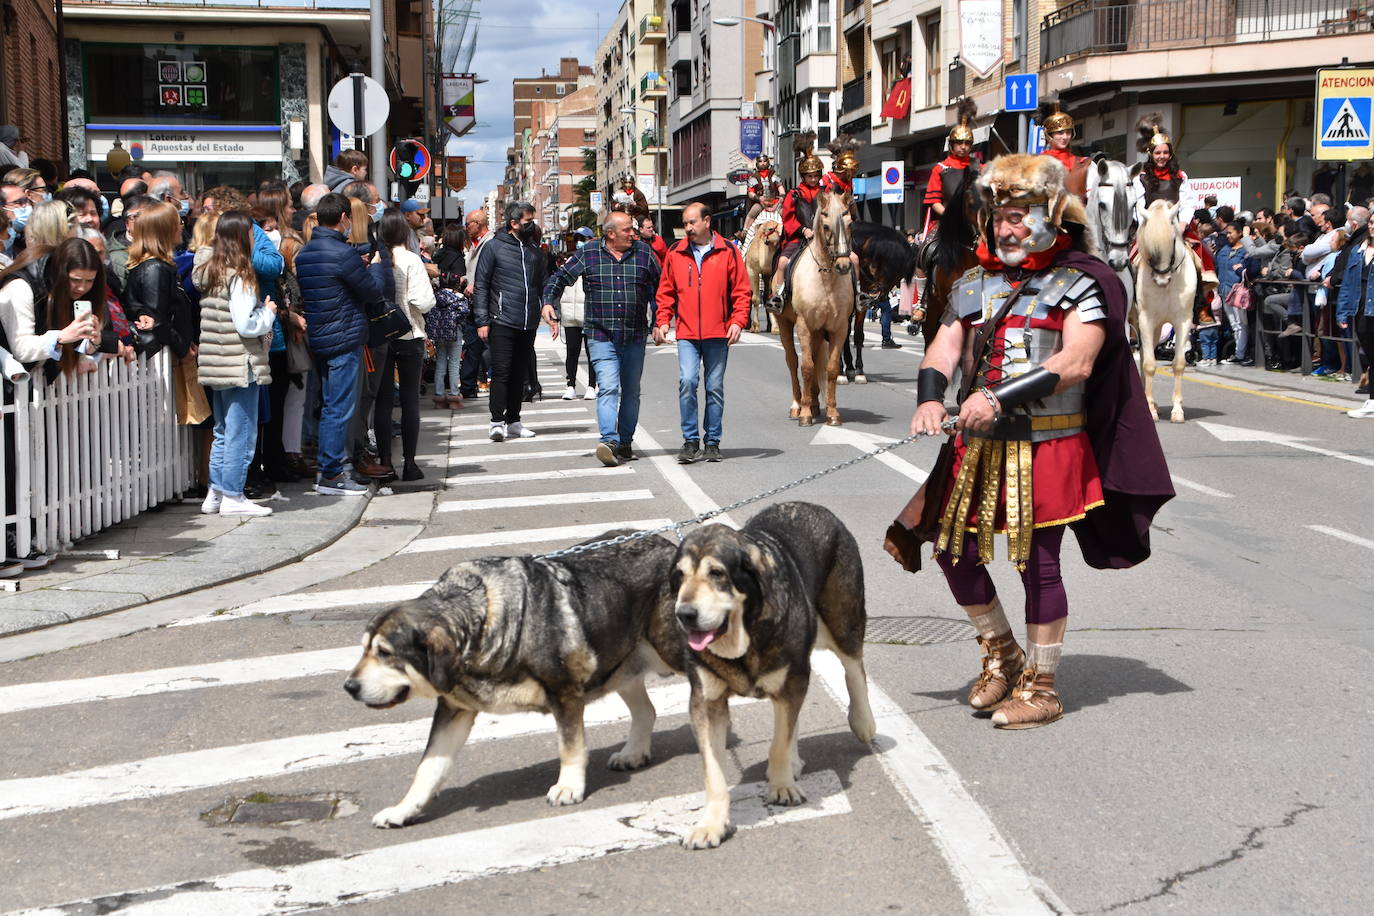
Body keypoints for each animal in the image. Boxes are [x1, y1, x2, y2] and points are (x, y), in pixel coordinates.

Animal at [780, 192, 851, 425]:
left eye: (850, 223)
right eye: (826, 226)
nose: (844, 265)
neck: (826, 276)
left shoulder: (839, 328)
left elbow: (831, 368)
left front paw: (832, 413)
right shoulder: (803, 324)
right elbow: (807, 366)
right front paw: (804, 414)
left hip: (819, 331)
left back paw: (813, 402)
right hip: (785, 323)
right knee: (793, 361)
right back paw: (797, 405)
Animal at [1132, 200, 1198, 422]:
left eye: (1173, 239)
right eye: (1147, 243)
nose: (1162, 279)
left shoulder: (1183, 320)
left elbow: (1178, 363)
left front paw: (1177, 410)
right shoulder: (1146, 319)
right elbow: (1149, 365)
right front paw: (1150, 410)